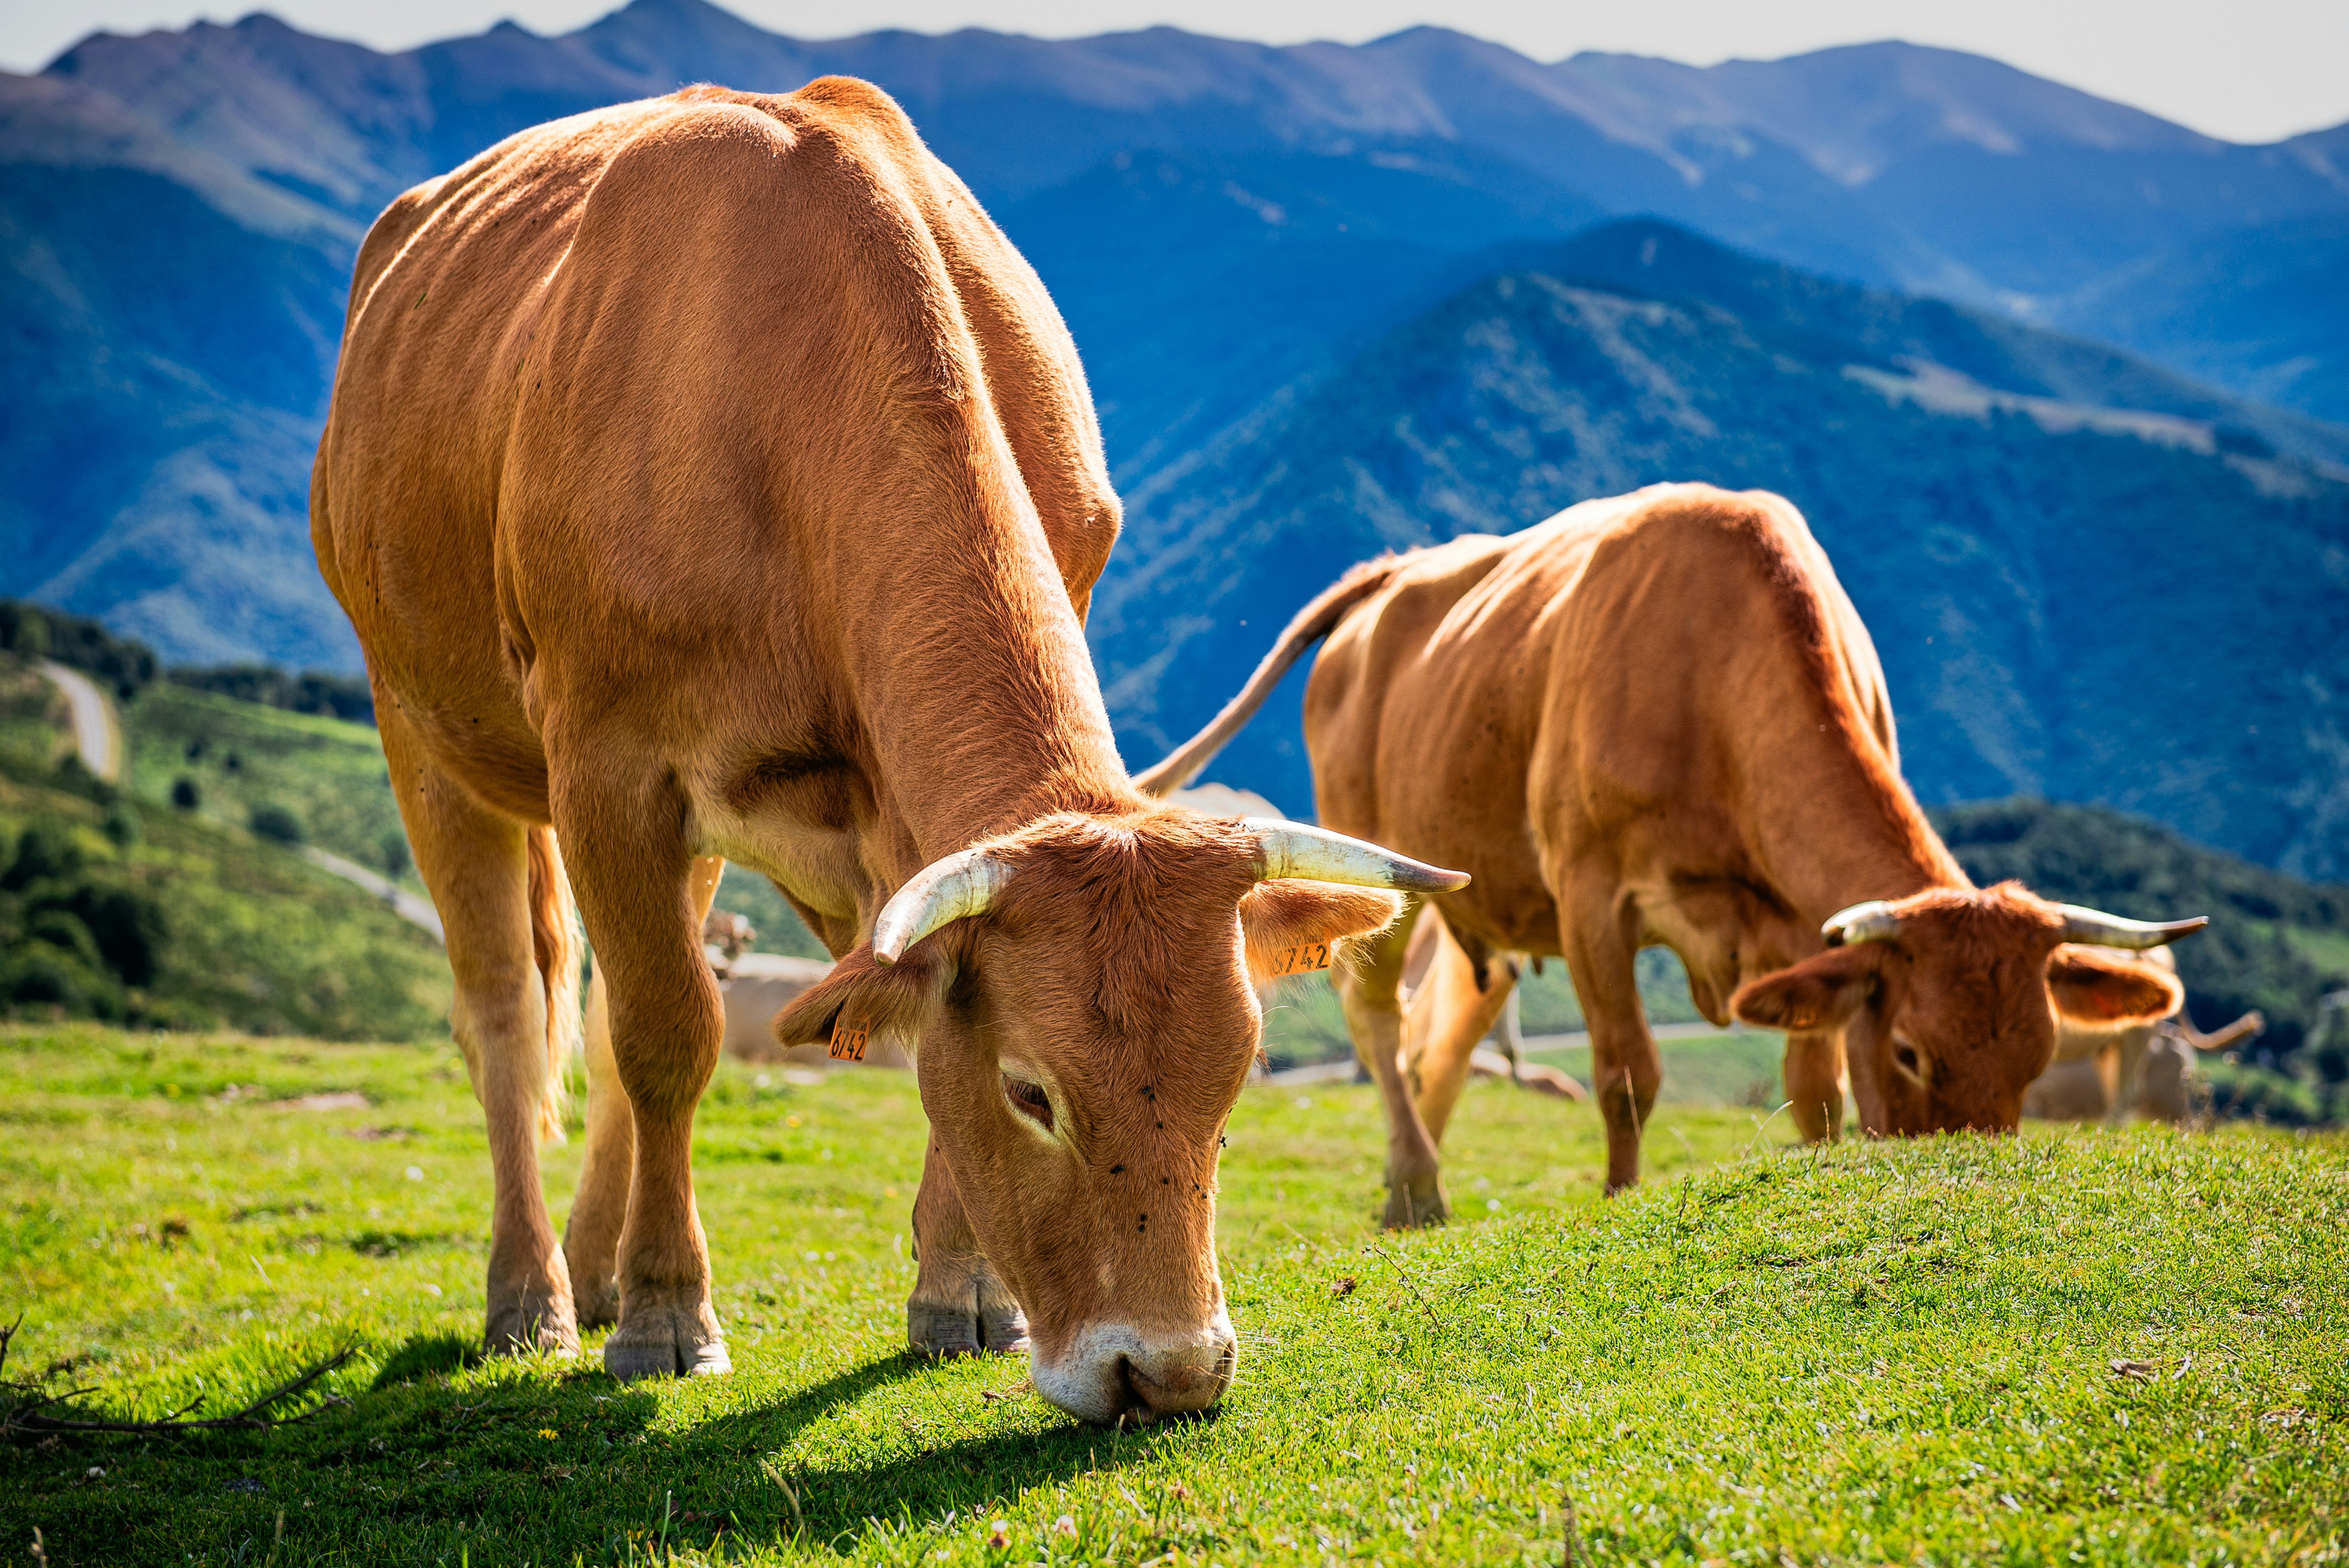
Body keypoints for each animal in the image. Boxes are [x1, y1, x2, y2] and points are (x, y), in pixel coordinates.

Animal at [311, 78, 1464, 1422]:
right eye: (1031, 1092)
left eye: (1233, 1084)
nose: (1168, 1370)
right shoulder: (611, 766)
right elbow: (669, 1038)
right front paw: (667, 1317)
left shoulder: (893, 807)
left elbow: (882, 1013)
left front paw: (959, 1294)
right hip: (422, 731)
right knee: (507, 1010)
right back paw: (535, 1298)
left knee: (590, 1019)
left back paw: (592, 1270)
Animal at [1138, 483, 2202, 1225]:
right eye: (1910, 1050)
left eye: (2039, 1057)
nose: (1968, 1171)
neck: (1715, 676)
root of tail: (1394, 575)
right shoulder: (1592, 896)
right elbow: (1626, 1077)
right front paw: (1618, 1201)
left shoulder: (1792, 928)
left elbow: (1813, 1090)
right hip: (1372, 854)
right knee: (1376, 1020)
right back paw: (1420, 1182)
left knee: (1439, 1034)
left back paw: (1410, 1195)